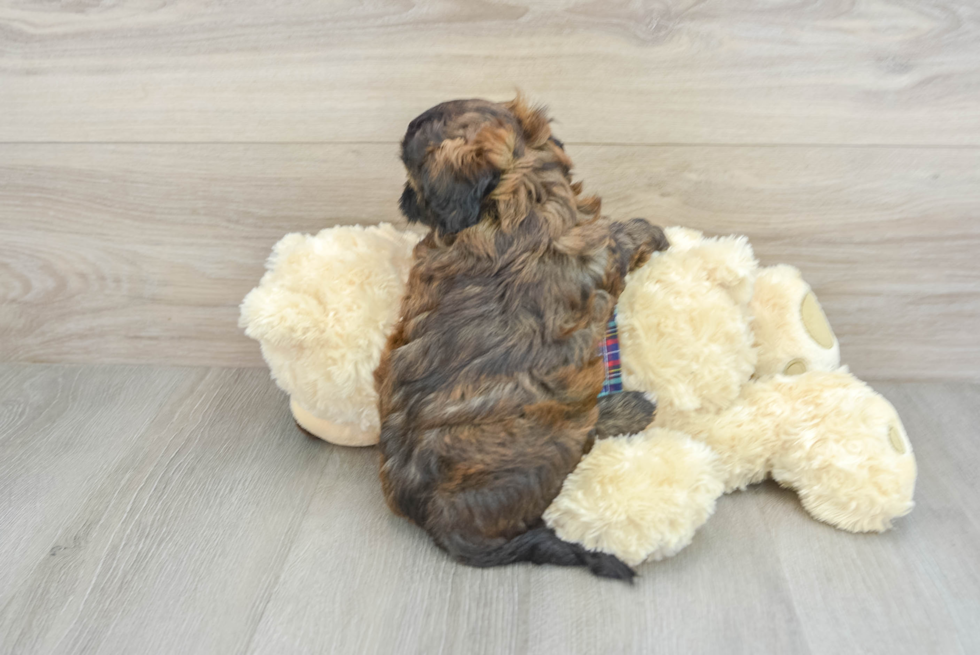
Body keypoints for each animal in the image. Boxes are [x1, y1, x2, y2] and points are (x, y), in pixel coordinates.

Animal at [374, 96, 668, 580]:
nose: (403, 198)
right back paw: (627, 410)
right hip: (560, 434)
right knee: (586, 437)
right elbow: (620, 237)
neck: (518, 188)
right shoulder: (599, 254)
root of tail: (439, 522)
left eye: (412, 175)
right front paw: (651, 232)